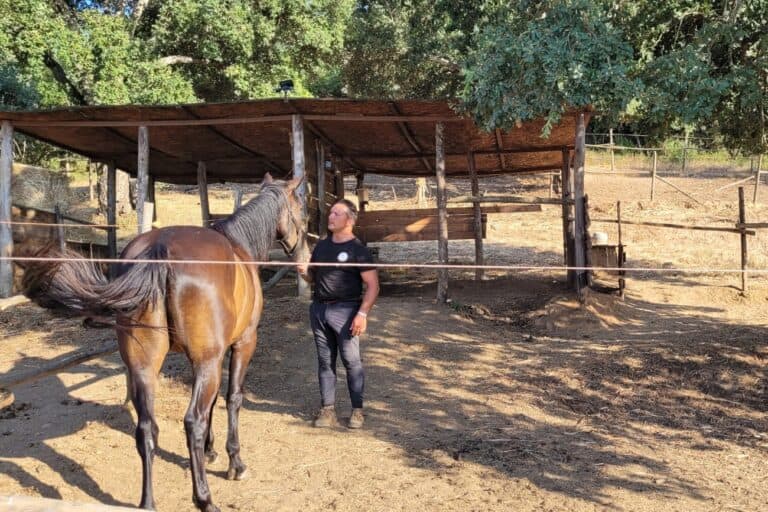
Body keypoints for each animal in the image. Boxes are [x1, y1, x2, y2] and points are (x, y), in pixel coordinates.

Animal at [24, 174, 306, 510]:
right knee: (192, 421)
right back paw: (204, 498)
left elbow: (212, 404)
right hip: (206, 362)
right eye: (300, 208)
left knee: (146, 429)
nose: (304, 254)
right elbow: (231, 400)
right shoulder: (240, 344)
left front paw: (210, 451)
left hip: (144, 368)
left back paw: (148, 501)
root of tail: (159, 251)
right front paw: (234, 462)